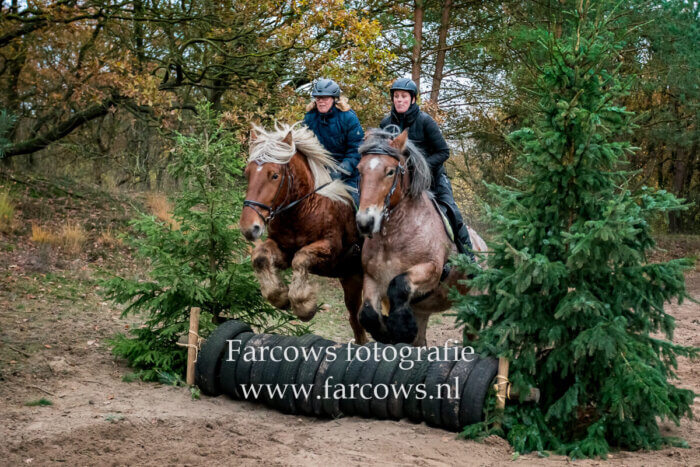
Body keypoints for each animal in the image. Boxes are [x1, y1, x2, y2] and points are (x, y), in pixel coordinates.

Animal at [238, 124, 366, 344]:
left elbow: (301, 258)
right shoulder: (282, 249)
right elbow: (260, 257)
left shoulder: (330, 249)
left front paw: (304, 307)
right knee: (356, 320)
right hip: (351, 278)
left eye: (274, 175)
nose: (249, 227)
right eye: (248, 174)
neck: (302, 210)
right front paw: (279, 297)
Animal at [356, 128, 486, 348]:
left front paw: (401, 328)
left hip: (473, 303)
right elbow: (368, 314)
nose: (365, 222)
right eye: (360, 170)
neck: (393, 237)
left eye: (390, 172)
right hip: (424, 310)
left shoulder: (430, 270)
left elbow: (398, 284)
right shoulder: (372, 278)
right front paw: (387, 333)